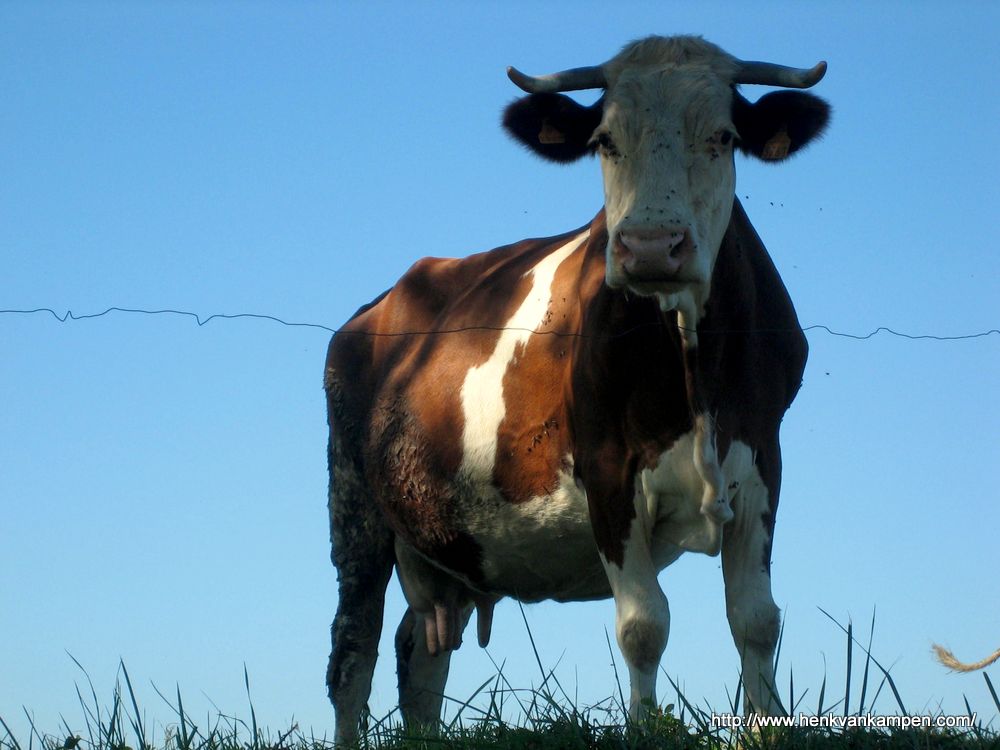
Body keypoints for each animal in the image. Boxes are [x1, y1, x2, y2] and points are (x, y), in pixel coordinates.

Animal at [324, 35, 830, 745]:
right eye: (605, 140)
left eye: (724, 136)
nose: (651, 246)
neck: (692, 364)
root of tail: (374, 309)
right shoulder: (608, 468)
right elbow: (644, 626)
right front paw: (646, 727)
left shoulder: (762, 454)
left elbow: (756, 618)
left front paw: (769, 729)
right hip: (354, 504)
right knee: (353, 652)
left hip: (447, 540)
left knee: (419, 650)